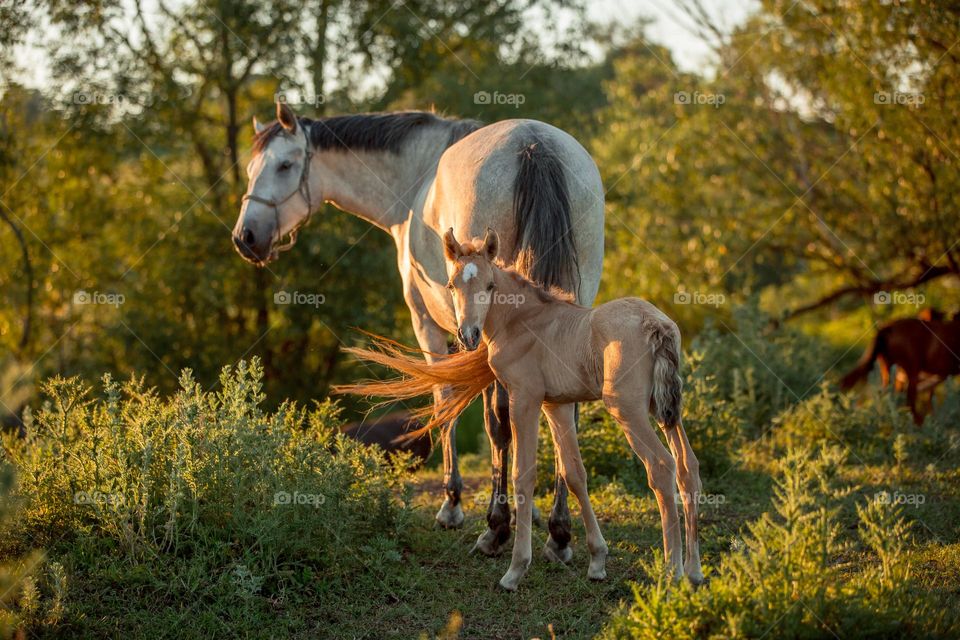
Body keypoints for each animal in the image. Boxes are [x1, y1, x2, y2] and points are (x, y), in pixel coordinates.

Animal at [232, 101, 604, 560]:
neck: (417, 176)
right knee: (564, 413)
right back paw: (558, 532)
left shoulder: (432, 326)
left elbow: (451, 404)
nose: (246, 237)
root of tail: (534, 145)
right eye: (252, 169)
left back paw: (498, 528)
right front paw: (527, 511)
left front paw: (456, 504)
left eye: (284, 165)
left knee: (502, 419)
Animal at [342, 229, 700, 592]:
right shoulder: (557, 405)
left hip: (627, 410)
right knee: (688, 467)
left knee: (661, 467)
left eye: (489, 286)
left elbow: (523, 475)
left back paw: (672, 572)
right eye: (452, 285)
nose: (468, 335)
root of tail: (657, 326)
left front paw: (515, 570)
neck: (524, 321)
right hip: (665, 411)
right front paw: (597, 560)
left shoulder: (524, 398)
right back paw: (694, 572)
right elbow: (574, 473)